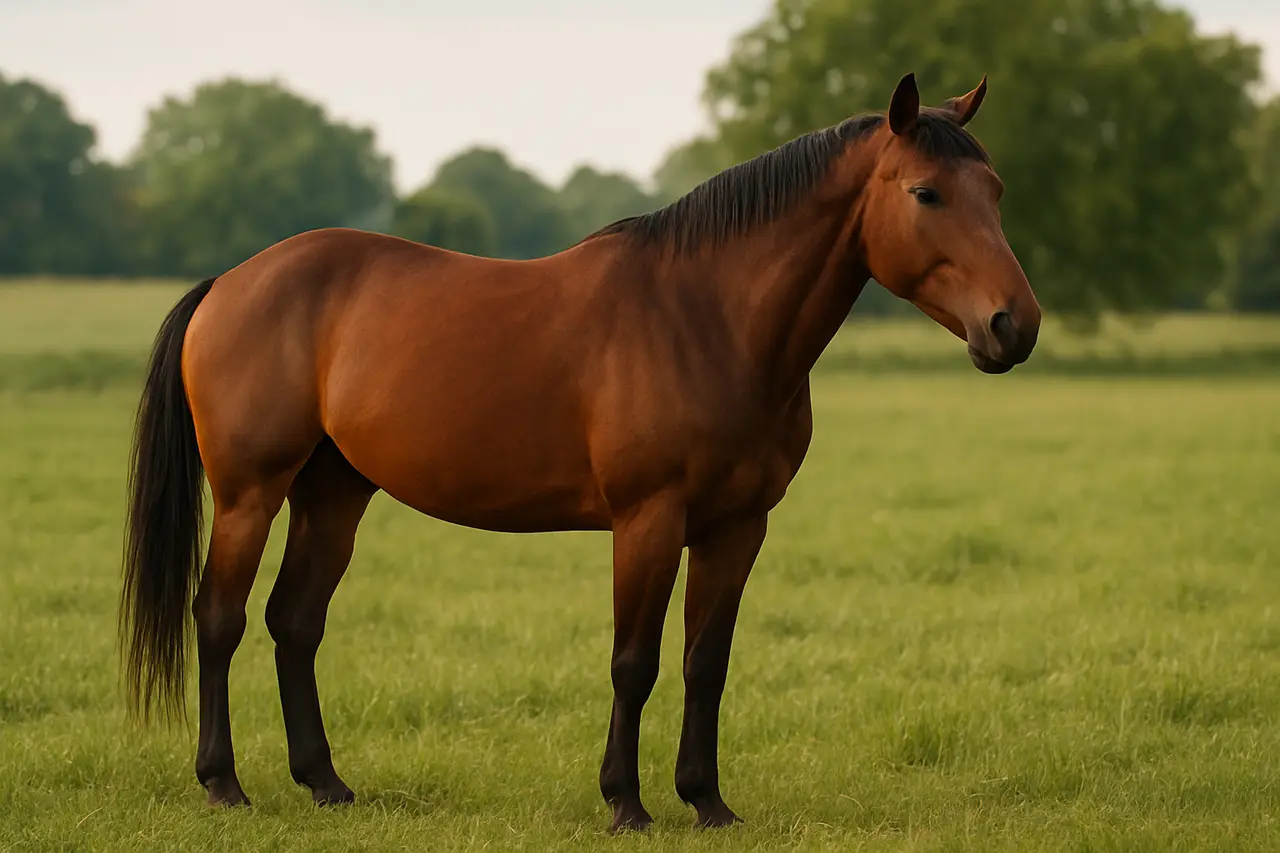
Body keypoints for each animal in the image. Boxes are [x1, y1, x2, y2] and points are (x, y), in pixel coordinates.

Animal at [119, 72, 1040, 832]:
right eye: (925, 191)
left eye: (996, 189)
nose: (1014, 325)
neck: (707, 320)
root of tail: (230, 282)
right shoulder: (648, 520)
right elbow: (634, 662)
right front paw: (625, 803)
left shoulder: (737, 526)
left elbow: (706, 662)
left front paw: (708, 801)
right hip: (251, 492)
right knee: (220, 617)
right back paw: (224, 784)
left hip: (334, 492)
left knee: (294, 621)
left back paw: (326, 783)